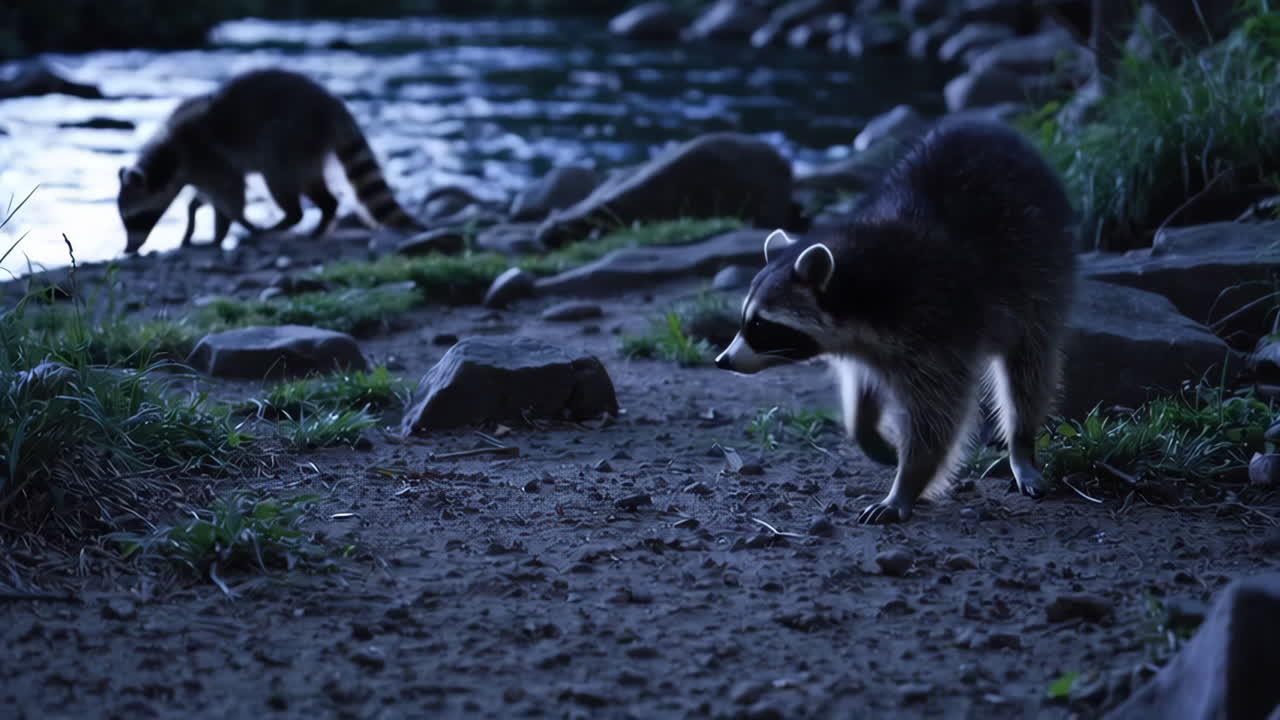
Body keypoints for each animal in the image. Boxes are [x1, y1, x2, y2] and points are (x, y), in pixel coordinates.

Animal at [116, 68, 422, 254]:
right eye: (126, 220)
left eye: (135, 218)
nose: (128, 250)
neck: (169, 159)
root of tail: (331, 105)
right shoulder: (201, 170)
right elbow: (205, 199)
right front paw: (194, 219)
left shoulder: (209, 160)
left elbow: (231, 198)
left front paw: (226, 230)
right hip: (307, 150)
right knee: (319, 191)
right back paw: (324, 215)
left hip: (288, 141)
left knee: (280, 182)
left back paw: (287, 221)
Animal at [715, 117, 1077, 525]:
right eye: (745, 320)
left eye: (761, 325)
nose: (722, 360)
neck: (860, 285)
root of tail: (989, 125)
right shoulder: (868, 345)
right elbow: (863, 387)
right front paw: (870, 434)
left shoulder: (937, 326)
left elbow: (937, 418)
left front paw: (908, 483)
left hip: (1043, 272)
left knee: (1029, 370)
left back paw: (1021, 443)